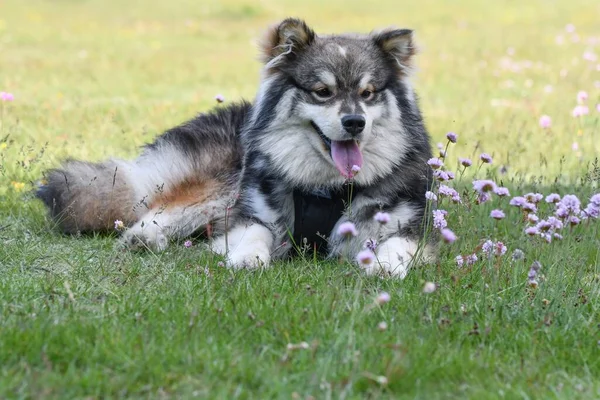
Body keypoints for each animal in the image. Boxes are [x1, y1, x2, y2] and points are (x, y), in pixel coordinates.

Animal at [38, 18, 440, 278]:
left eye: (368, 93)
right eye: (322, 92)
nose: (355, 122)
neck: (325, 187)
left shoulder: (412, 227)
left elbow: (394, 244)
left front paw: (385, 265)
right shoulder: (251, 213)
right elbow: (254, 234)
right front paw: (247, 258)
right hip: (221, 185)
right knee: (163, 206)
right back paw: (144, 237)